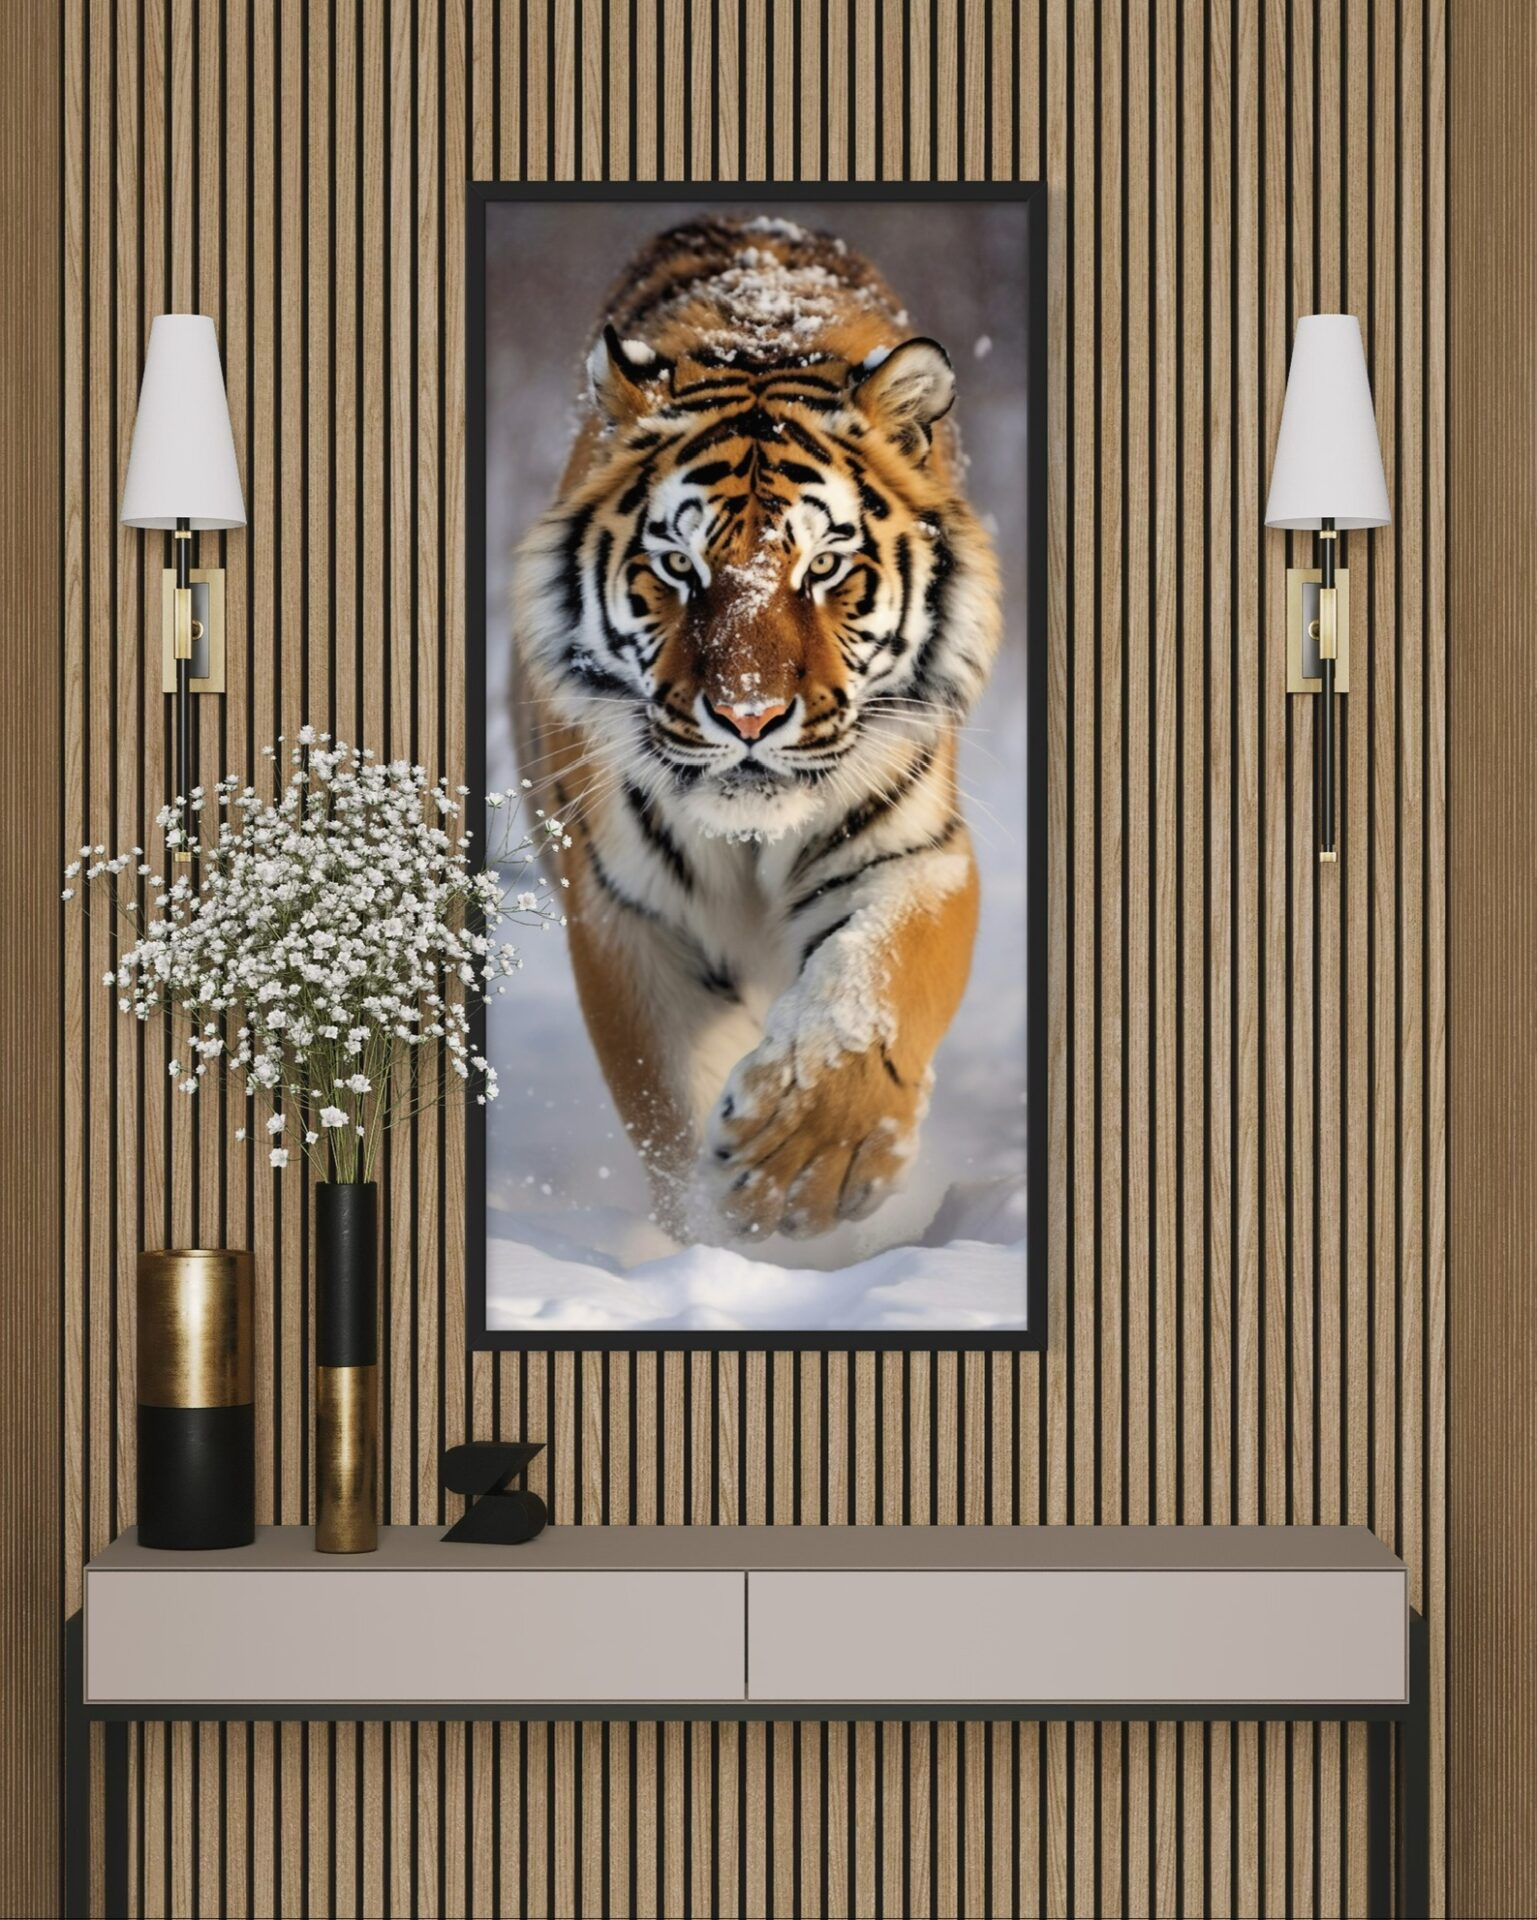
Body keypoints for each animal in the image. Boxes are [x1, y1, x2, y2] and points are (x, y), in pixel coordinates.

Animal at [511, 214, 1002, 1244]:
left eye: (824, 567)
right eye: (677, 565)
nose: (746, 714)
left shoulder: (915, 853)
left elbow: (873, 987)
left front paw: (803, 1163)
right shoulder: (625, 907)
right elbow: (672, 1094)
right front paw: (720, 1238)